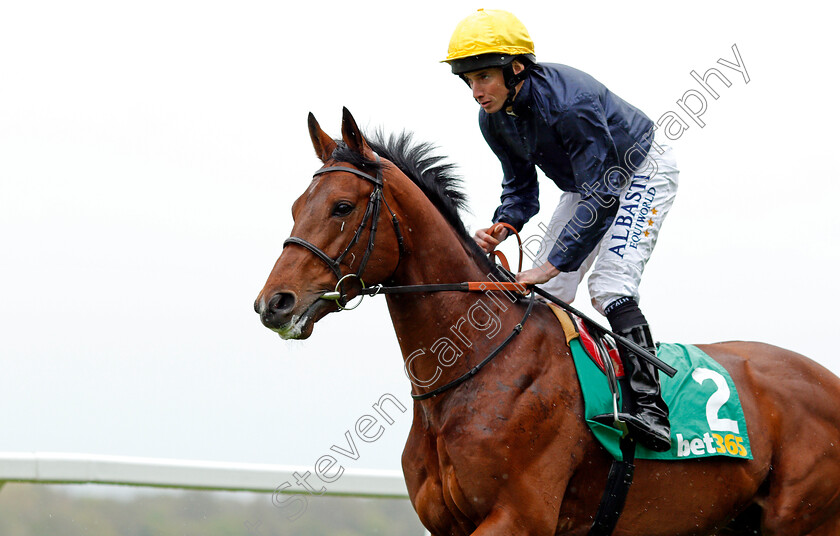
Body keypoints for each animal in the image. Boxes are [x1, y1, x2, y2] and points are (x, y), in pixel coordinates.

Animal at [253, 107, 840, 532]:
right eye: (296, 206)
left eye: (343, 207)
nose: (273, 303)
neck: (473, 370)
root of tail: (827, 380)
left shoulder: (519, 516)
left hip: (803, 521)